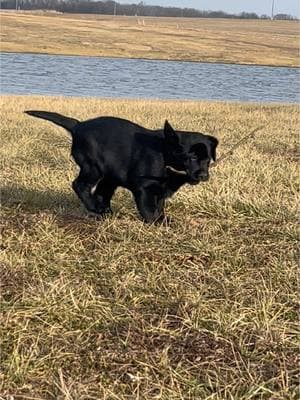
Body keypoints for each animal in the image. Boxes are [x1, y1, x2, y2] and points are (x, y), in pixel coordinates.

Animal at [25, 111, 218, 222]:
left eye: (208, 159)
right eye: (191, 157)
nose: (203, 175)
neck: (165, 157)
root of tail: (78, 125)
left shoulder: (160, 190)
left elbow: (159, 205)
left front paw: (162, 218)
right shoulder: (144, 188)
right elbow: (148, 209)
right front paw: (157, 222)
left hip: (109, 177)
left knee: (101, 193)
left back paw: (104, 212)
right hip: (93, 167)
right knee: (80, 185)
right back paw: (94, 207)